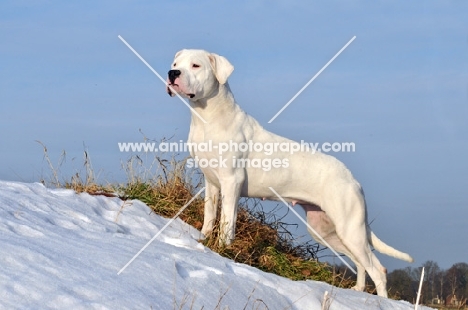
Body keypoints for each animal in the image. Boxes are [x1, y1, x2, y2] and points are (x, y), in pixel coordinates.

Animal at [167, 49, 414, 296]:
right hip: (327, 231)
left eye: (196, 65)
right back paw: (358, 289)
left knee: (377, 270)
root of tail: (353, 179)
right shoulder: (212, 183)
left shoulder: (231, 182)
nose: (172, 73)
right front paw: (204, 240)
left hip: (350, 229)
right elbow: (209, 217)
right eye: (176, 64)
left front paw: (222, 249)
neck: (207, 117)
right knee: (361, 263)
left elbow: (227, 222)